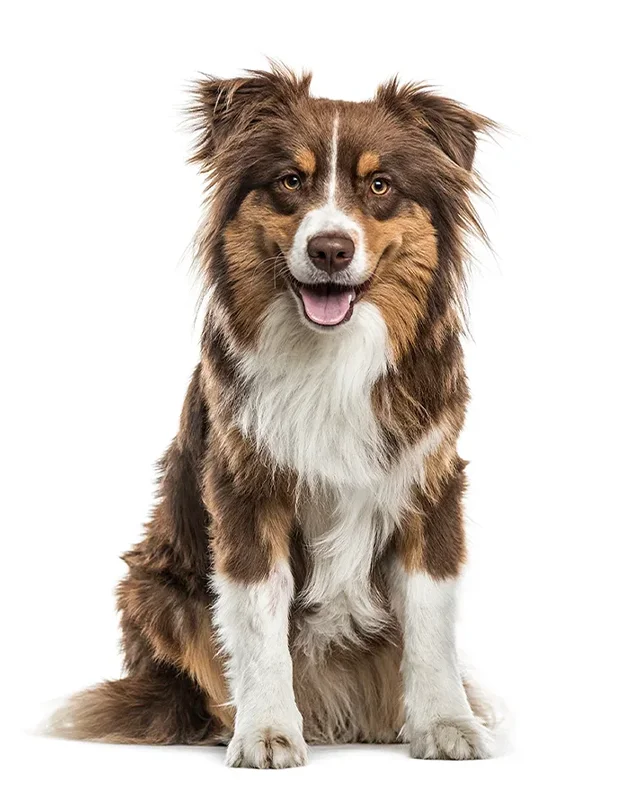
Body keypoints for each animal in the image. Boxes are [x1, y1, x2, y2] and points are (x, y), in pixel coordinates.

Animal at [51, 65, 498, 764]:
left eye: (380, 185)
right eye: (290, 180)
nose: (331, 249)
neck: (331, 356)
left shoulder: (431, 483)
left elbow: (431, 620)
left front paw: (446, 723)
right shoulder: (244, 489)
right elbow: (259, 624)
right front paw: (265, 730)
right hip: (155, 589)